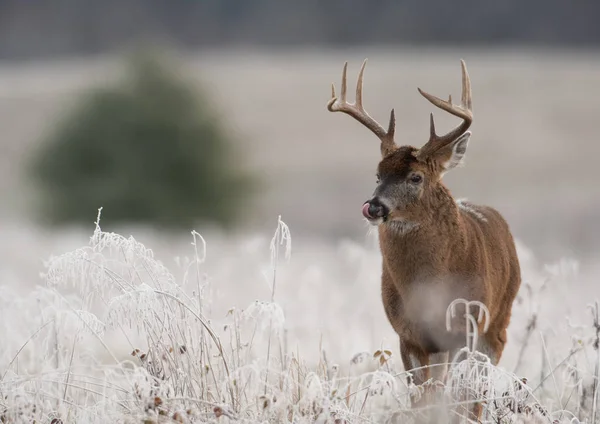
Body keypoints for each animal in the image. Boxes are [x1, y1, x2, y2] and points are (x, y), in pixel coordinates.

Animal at [326, 60, 524, 420]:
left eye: (415, 177)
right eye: (378, 174)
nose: (373, 206)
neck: (430, 284)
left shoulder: (465, 327)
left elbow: (458, 396)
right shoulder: (408, 334)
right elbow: (422, 398)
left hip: (498, 319)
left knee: (478, 389)